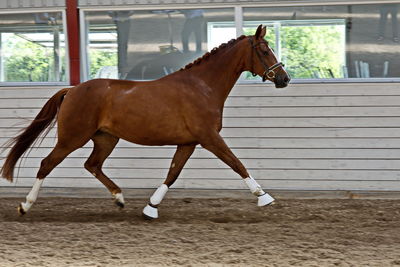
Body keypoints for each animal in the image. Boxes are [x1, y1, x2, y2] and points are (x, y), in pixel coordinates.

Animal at [0, 25, 288, 220]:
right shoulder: (209, 138)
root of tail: (72, 90)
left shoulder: (189, 142)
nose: (283, 79)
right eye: (264, 50)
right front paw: (264, 197)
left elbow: (173, 173)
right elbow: (236, 163)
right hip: (73, 137)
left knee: (92, 165)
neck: (201, 87)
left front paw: (151, 207)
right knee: (47, 164)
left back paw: (119, 199)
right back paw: (25, 205)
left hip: (106, 139)